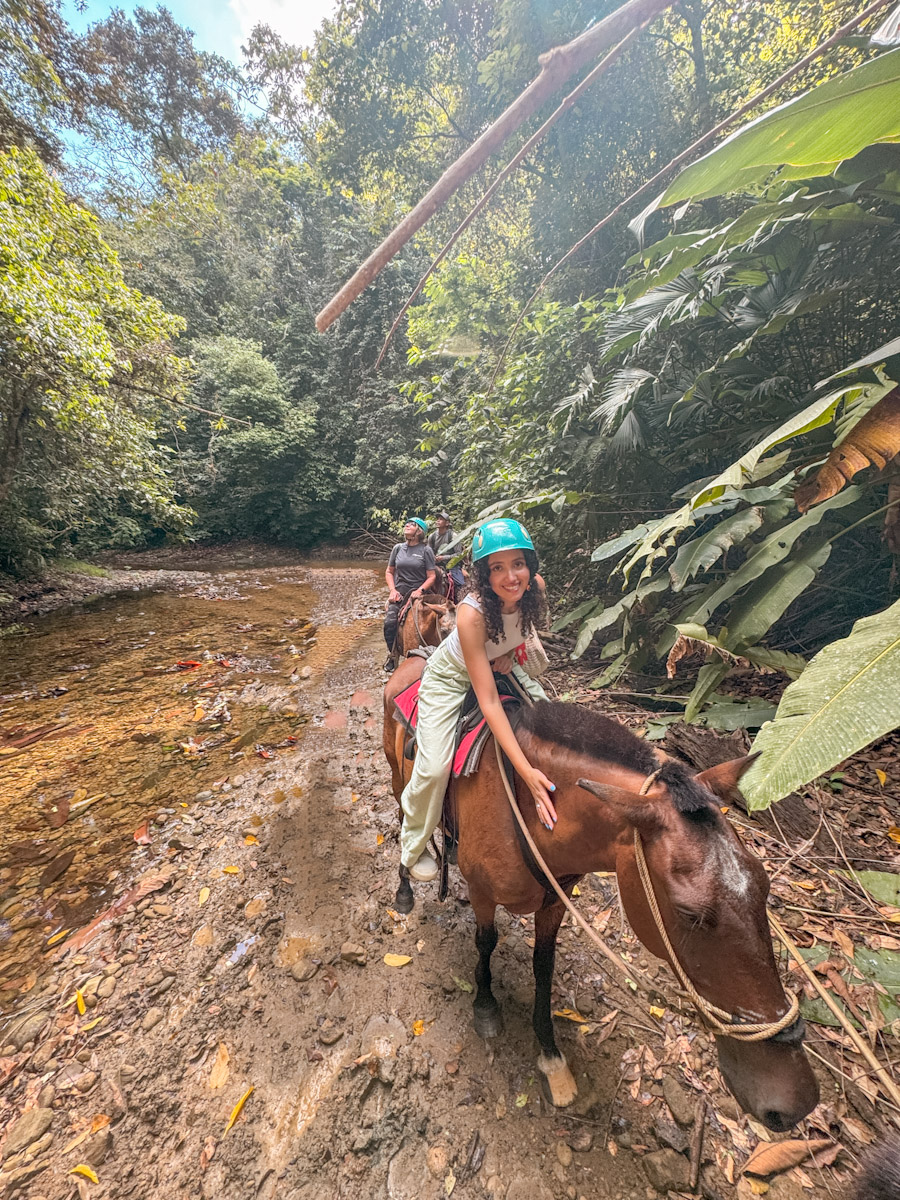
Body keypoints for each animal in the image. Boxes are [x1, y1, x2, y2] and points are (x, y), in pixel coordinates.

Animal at [382, 656, 819, 1132]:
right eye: (689, 913)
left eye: (764, 885)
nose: (795, 1101)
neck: (528, 811)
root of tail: (412, 661)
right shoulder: (481, 892)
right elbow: (486, 943)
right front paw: (485, 1006)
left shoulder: (555, 900)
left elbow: (544, 964)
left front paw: (552, 1057)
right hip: (398, 776)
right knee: (405, 817)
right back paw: (407, 885)